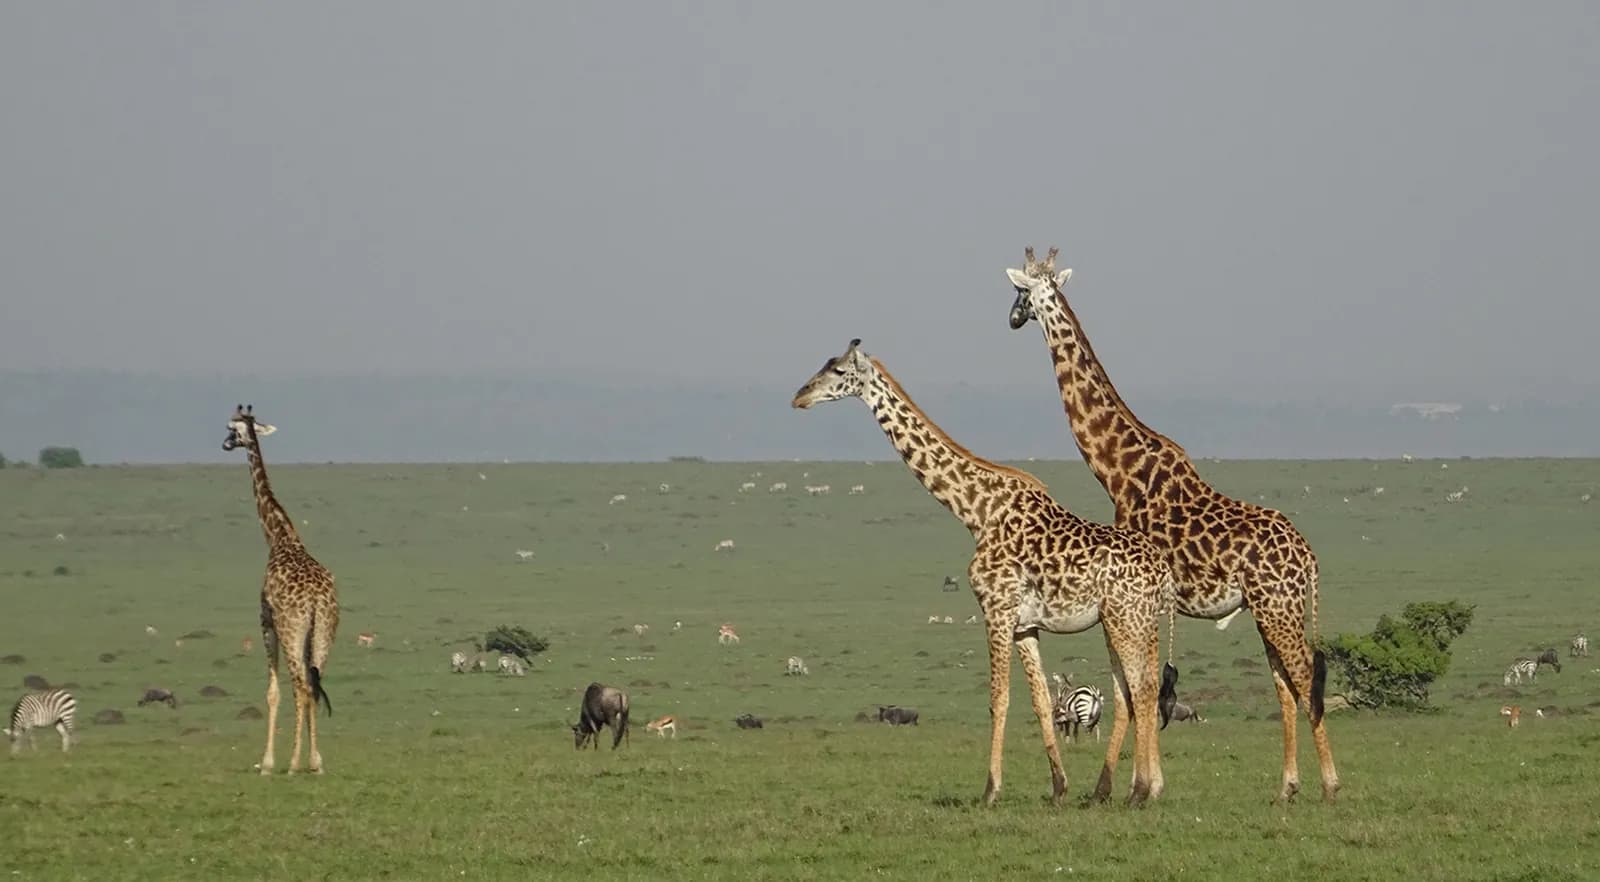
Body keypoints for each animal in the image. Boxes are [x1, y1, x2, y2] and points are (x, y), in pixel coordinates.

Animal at [222, 405, 339, 775]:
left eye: (232, 428)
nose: (224, 444)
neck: (279, 536)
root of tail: (315, 600)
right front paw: (314, 760)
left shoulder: (266, 622)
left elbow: (272, 692)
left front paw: (267, 762)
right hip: (324, 631)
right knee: (314, 682)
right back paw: (314, 762)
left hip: (291, 630)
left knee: (301, 685)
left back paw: (292, 762)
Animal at [792, 340, 1178, 805]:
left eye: (837, 371)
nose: (800, 396)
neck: (976, 512)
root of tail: (1163, 571)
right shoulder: (1024, 624)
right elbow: (1040, 700)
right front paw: (1058, 787)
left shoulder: (996, 609)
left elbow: (999, 698)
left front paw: (990, 790)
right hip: (1128, 621)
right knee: (1133, 690)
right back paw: (1129, 788)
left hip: (1126, 619)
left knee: (1141, 688)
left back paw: (1141, 790)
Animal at [1003, 247, 1339, 802]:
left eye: (1020, 292)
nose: (1011, 318)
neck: (1117, 471)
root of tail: (1309, 558)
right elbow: (1134, 688)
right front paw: (1121, 786)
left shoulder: (1136, 598)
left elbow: (1131, 690)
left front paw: (1130, 787)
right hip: (1271, 609)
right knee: (1285, 685)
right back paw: (1287, 787)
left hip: (1278, 607)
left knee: (1305, 675)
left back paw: (1330, 785)